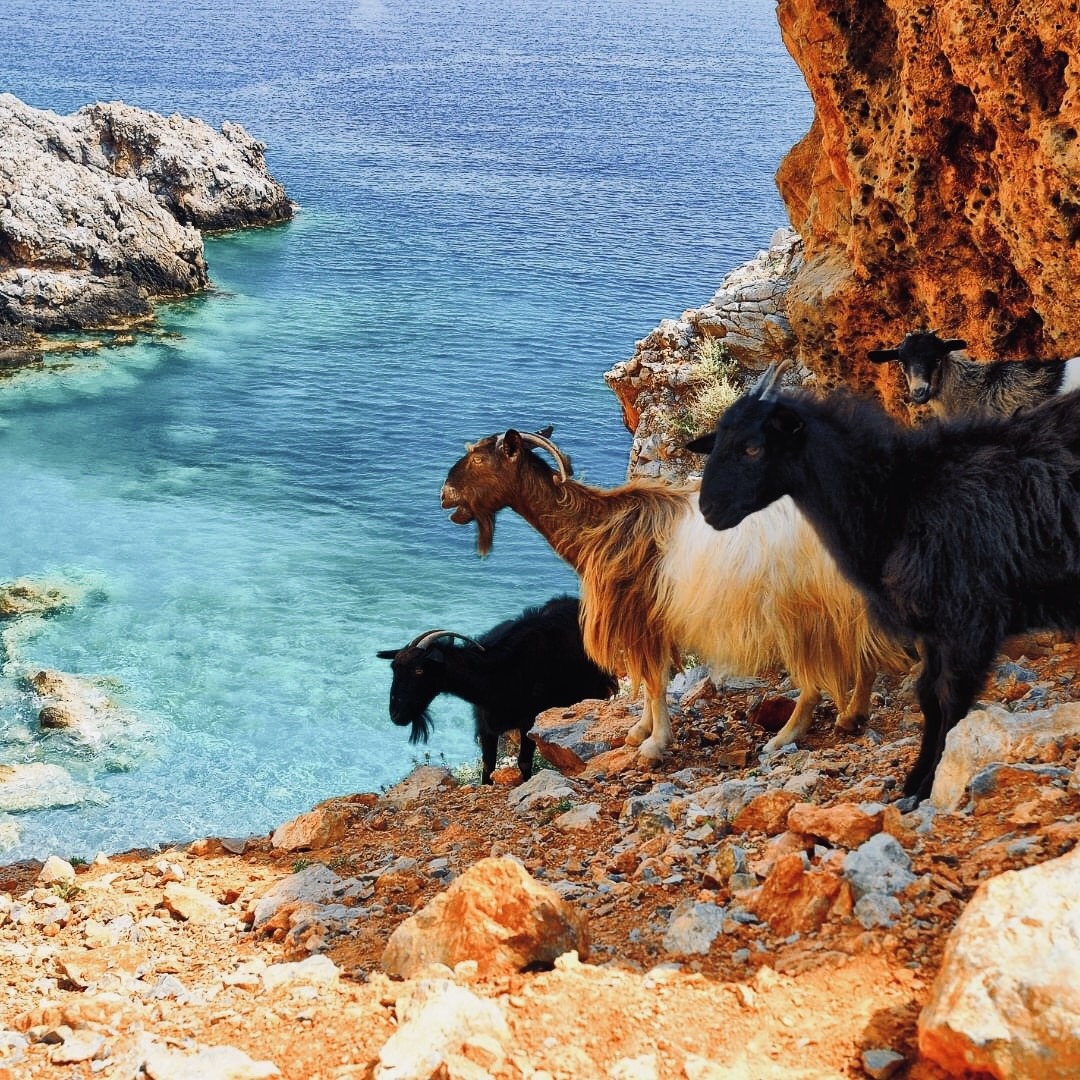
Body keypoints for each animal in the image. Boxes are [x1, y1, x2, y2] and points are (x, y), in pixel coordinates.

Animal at [376, 595, 617, 784]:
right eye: (394, 668)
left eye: (419, 670)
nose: (396, 715)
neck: (499, 673)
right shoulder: (486, 727)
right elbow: (488, 766)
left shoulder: (529, 722)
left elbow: (524, 762)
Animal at [440, 427, 909, 763]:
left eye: (479, 458)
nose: (445, 494)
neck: (600, 528)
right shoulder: (651, 620)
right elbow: (653, 680)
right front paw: (640, 732)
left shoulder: (639, 615)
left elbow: (653, 681)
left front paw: (655, 744)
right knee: (866, 653)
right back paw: (851, 717)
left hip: (801, 609)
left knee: (814, 681)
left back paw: (783, 738)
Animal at [688, 364, 1080, 800]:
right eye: (718, 442)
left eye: (753, 448)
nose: (709, 509)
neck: (897, 496)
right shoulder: (933, 630)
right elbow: (929, 698)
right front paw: (914, 783)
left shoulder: (968, 621)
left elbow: (949, 699)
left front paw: (929, 784)